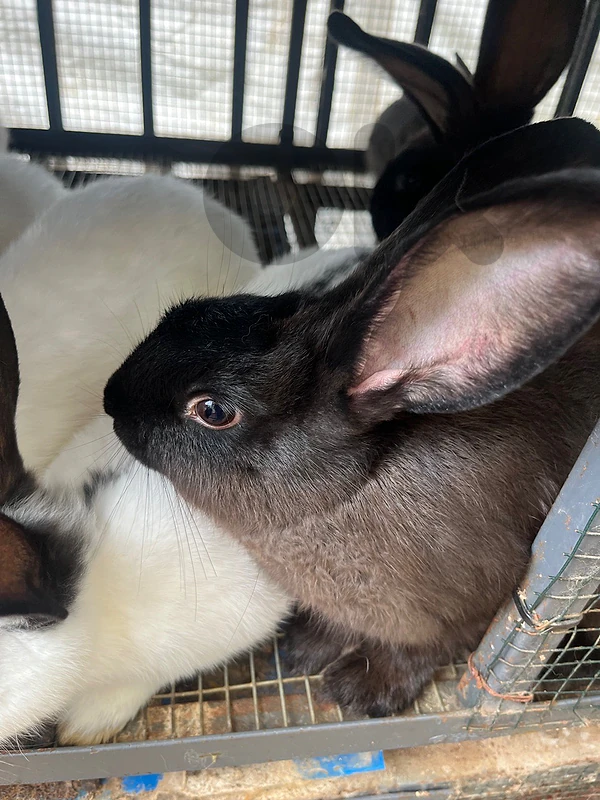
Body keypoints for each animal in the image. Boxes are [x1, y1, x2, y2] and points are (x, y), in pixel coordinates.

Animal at [104, 116, 600, 717]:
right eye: (184, 312)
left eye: (213, 411)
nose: (110, 401)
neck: (345, 495)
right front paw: (301, 650)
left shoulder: (474, 603)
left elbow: (424, 650)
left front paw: (361, 692)